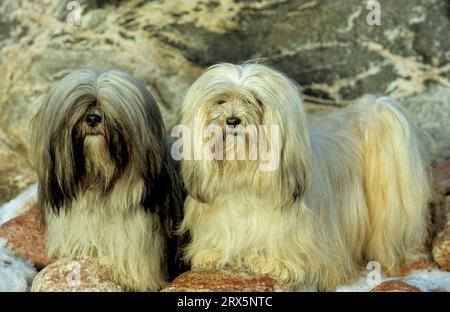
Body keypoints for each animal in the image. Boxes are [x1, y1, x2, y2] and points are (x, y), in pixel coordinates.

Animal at [178, 62, 430, 290]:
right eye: (220, 101)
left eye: (254, 101)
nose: (232, 120)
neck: (244, 171)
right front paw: (213, 253)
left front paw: (270, 261)